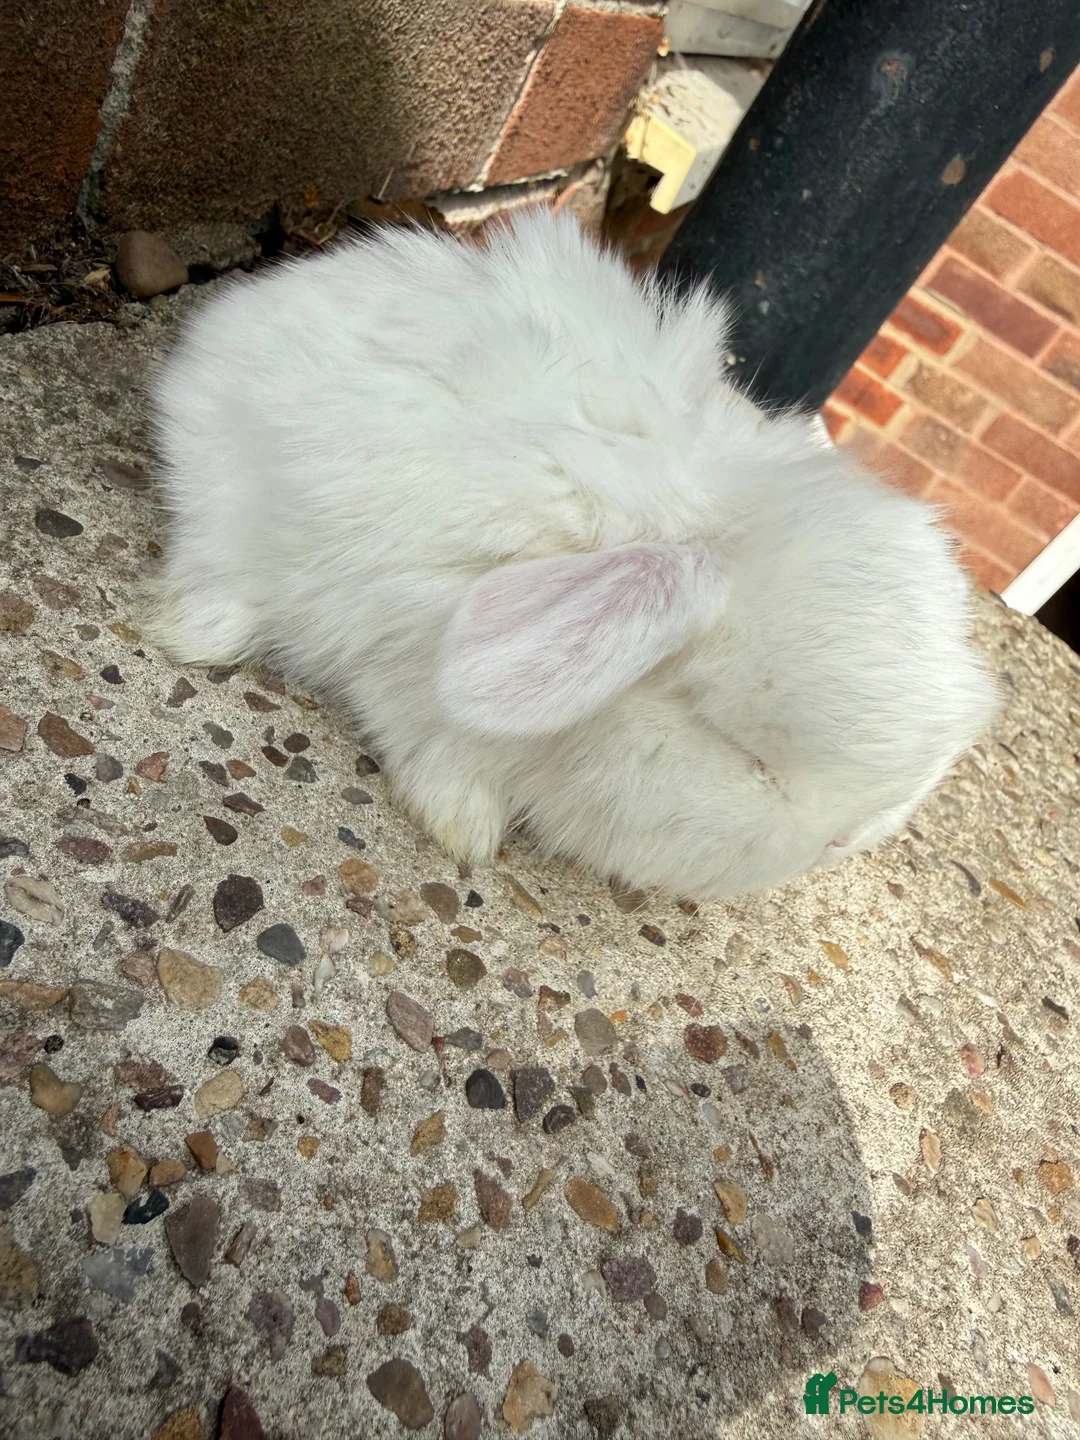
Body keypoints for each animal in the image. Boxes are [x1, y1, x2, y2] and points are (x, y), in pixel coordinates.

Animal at [149, 208, 998, 901]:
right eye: (737, 747)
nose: (844, 841)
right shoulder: (408, 667)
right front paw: (464, 829)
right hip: (226, 479)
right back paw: (192, 633)